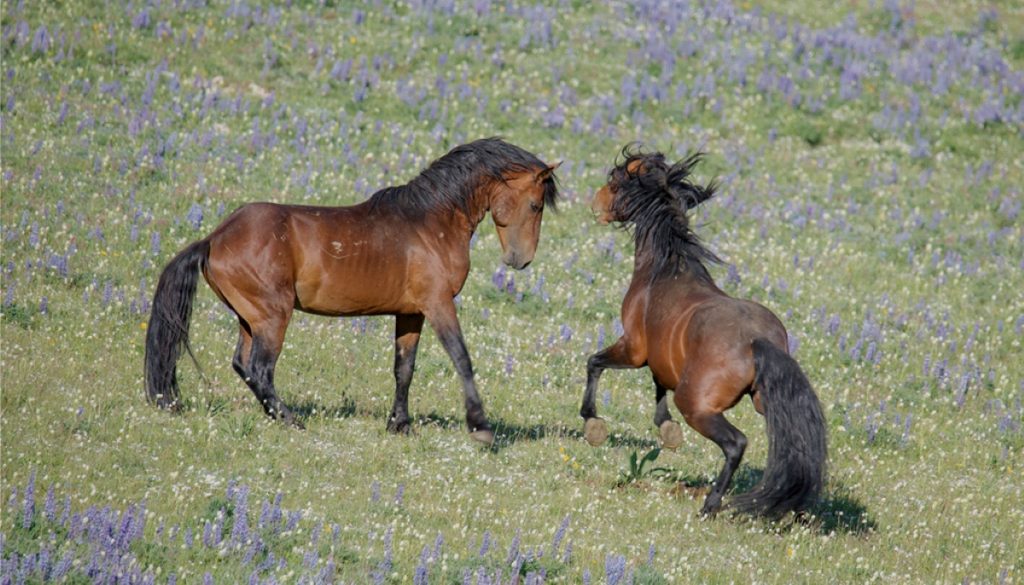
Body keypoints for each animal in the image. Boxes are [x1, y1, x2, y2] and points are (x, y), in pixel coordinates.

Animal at [145, 138, 560, 445]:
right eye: (535, 204)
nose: (520, 260)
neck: (430, 223)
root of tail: (215, 238)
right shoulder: (438, 304)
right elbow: (462, 359)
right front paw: (481, 427)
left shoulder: (410, 312)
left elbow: (404, 369)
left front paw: (399, 424)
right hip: (273, 316)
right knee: (260, 368)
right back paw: (290, 421)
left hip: (251, 318)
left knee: (243, 365)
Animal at [579, 146, 826, 518]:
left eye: (615, 181)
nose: (595, 203)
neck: (665, 269)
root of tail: (757, 340)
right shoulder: (661, 357)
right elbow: (658, 383)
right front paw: (667, 429)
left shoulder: (634, 349)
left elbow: (595, 363)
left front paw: (592, 422)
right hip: (764, 401)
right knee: (792, 442)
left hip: (696, 406)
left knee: (737, 444)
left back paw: (711, 505)